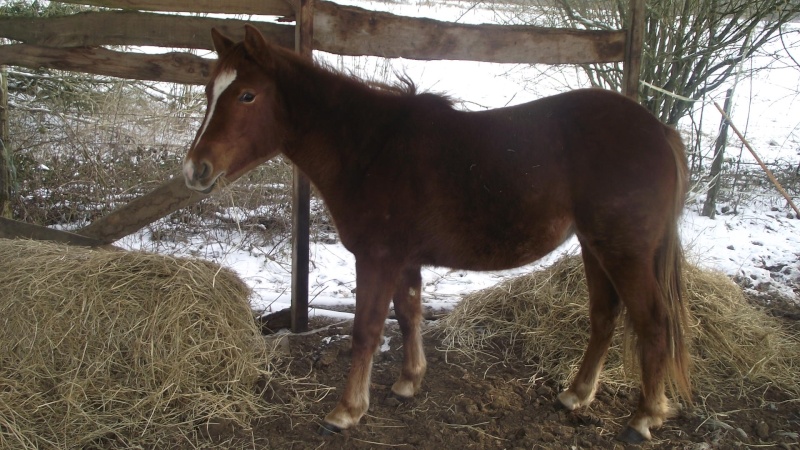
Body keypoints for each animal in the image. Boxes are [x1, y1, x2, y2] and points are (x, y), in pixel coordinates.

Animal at [184, 25, 692, 442]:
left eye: (247, 96)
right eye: (210, 90)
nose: (195, 170)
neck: (370, 146)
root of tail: (657, 129)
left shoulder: (378, 257)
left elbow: (367, 330)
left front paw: (346, 411)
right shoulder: (404, 259)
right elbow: (409, 314)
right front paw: (408, 382)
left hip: (624, 251)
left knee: (652, 321)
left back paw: (643, 418)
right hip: (596, 246)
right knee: (605, 316)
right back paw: (576, 394)